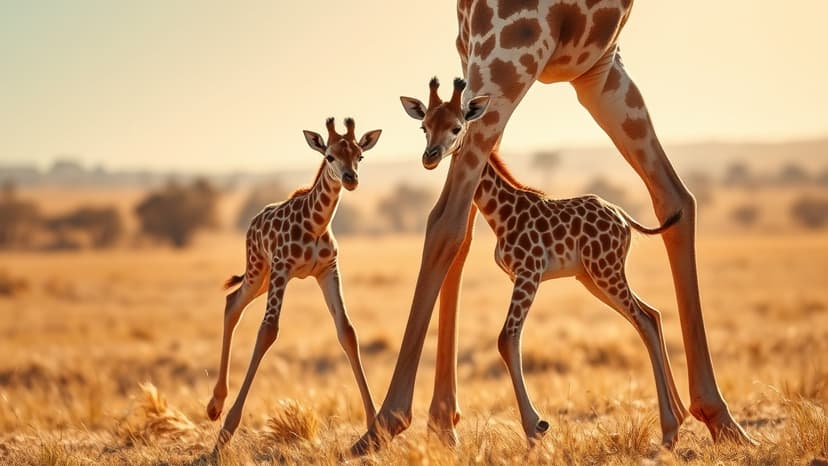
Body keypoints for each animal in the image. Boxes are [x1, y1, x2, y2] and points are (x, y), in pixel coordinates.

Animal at [206, 117, 381, 450]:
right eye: (330, 156)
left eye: (360, 155)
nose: (351, 178)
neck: (316, 225)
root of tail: (253, 222)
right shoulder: (282, 268)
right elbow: (267, 331)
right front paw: (227, 430)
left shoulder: (328, 270)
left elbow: (347, 331)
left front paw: (376, 427)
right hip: (259, 269)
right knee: (233, 304)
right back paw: (216, 407)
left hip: (262, 278)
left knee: (232, 302)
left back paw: (215, 405)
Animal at [401, 77, 689, 447]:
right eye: (424, 126)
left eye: (456, 127)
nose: (430, 157)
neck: (500, 215)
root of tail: (623, 217)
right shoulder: (520, 277)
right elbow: (508, 338)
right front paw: (534, 426)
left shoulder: (529, 272)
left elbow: (507, 338)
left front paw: (535, 427)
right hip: (591, 277)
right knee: (649, 315)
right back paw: (676, 420)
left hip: (606, 272)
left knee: (643, 318)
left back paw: (669, 429)